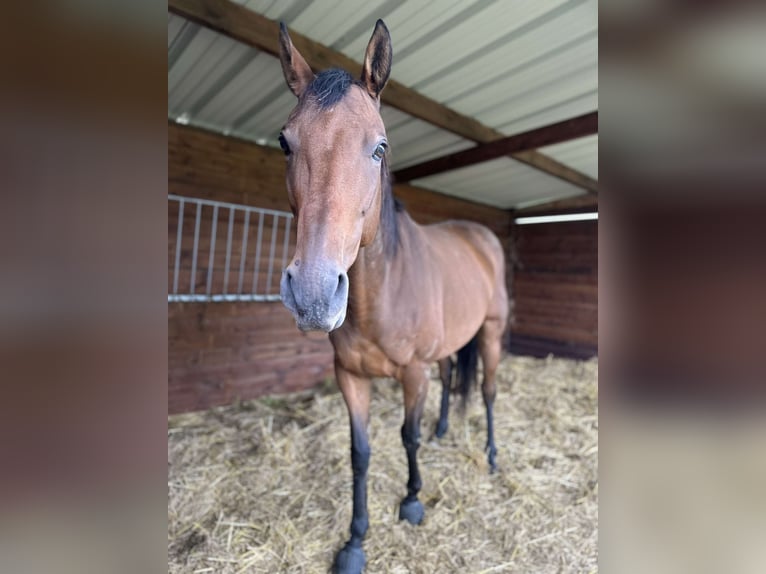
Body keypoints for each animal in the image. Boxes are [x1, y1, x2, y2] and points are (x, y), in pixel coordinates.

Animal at [278, 20, 510, 574]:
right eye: (284, 143)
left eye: (380, 147)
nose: (314, 293)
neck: (382, 293)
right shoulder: (350, 377)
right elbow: (360, 452)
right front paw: (355, 541)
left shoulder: (411, 372)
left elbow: (406, 435)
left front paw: (412, 500)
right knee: (451, 378)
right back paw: (444, 430)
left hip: (491, 333)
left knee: (488, 391)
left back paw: (492, 456)